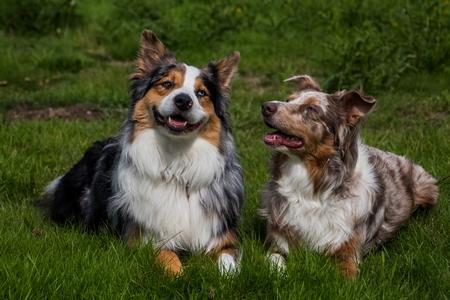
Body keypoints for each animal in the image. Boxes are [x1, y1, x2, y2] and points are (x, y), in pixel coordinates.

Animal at [41, 30, 244, 276]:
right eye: (167, 84)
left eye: (201, 93)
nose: (183, 100)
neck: (177, 159)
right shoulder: (145, 238)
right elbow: (168, 257)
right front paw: (181, 275)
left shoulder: (222, 235)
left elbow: (228, 261)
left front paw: (227, 277)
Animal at [260, 74, 440, 276]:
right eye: (288, 100)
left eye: (311, 109)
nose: (265, 106)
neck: (312, 187)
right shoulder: (278, 240)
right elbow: (275, 260)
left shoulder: (348, 251)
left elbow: (346, 275)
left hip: (427, 187)